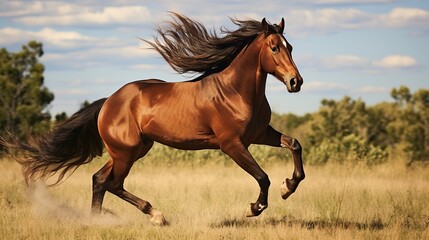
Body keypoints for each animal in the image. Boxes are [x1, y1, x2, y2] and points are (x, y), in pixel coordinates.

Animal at [3, 13, 304, 226]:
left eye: (290, 46)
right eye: (274, 48)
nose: (296, 82)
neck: (234, 91)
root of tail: (109, 102)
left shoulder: (259, 134)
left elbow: (294, 144)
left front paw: (288, 187)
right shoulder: (231, 144)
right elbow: (262, 176)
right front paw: (255, 208)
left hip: (132, 150)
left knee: (99, 180)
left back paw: (97, 221)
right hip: (126, 152)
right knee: (113, 183)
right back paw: (156, 215)